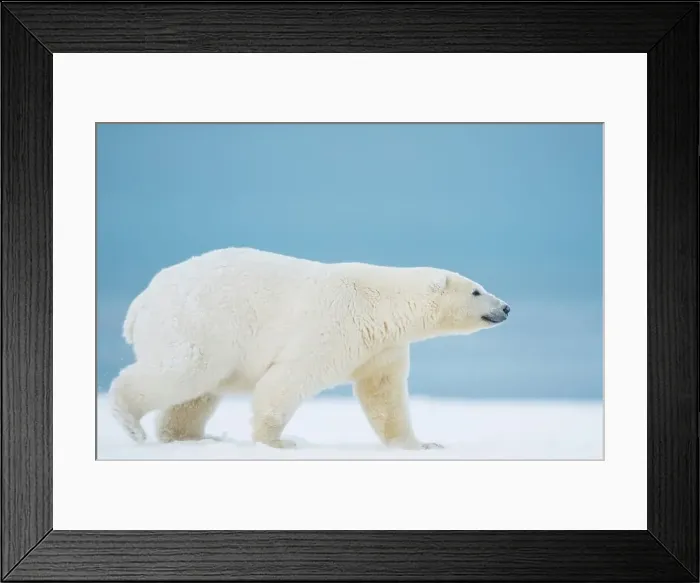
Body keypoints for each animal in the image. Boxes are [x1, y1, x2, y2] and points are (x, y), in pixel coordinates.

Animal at [107, 247, 510, 449]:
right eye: (477, 291)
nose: (505, 307)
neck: (381, 303)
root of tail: (140, 303)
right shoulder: (335, 326)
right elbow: (286, 379)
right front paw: (276, 443)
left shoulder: (382, 347)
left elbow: (384, 395)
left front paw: (418, 445)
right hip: (200, 324)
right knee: (184, 372)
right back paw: (130, 424)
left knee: (196, 395)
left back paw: (191, 437)